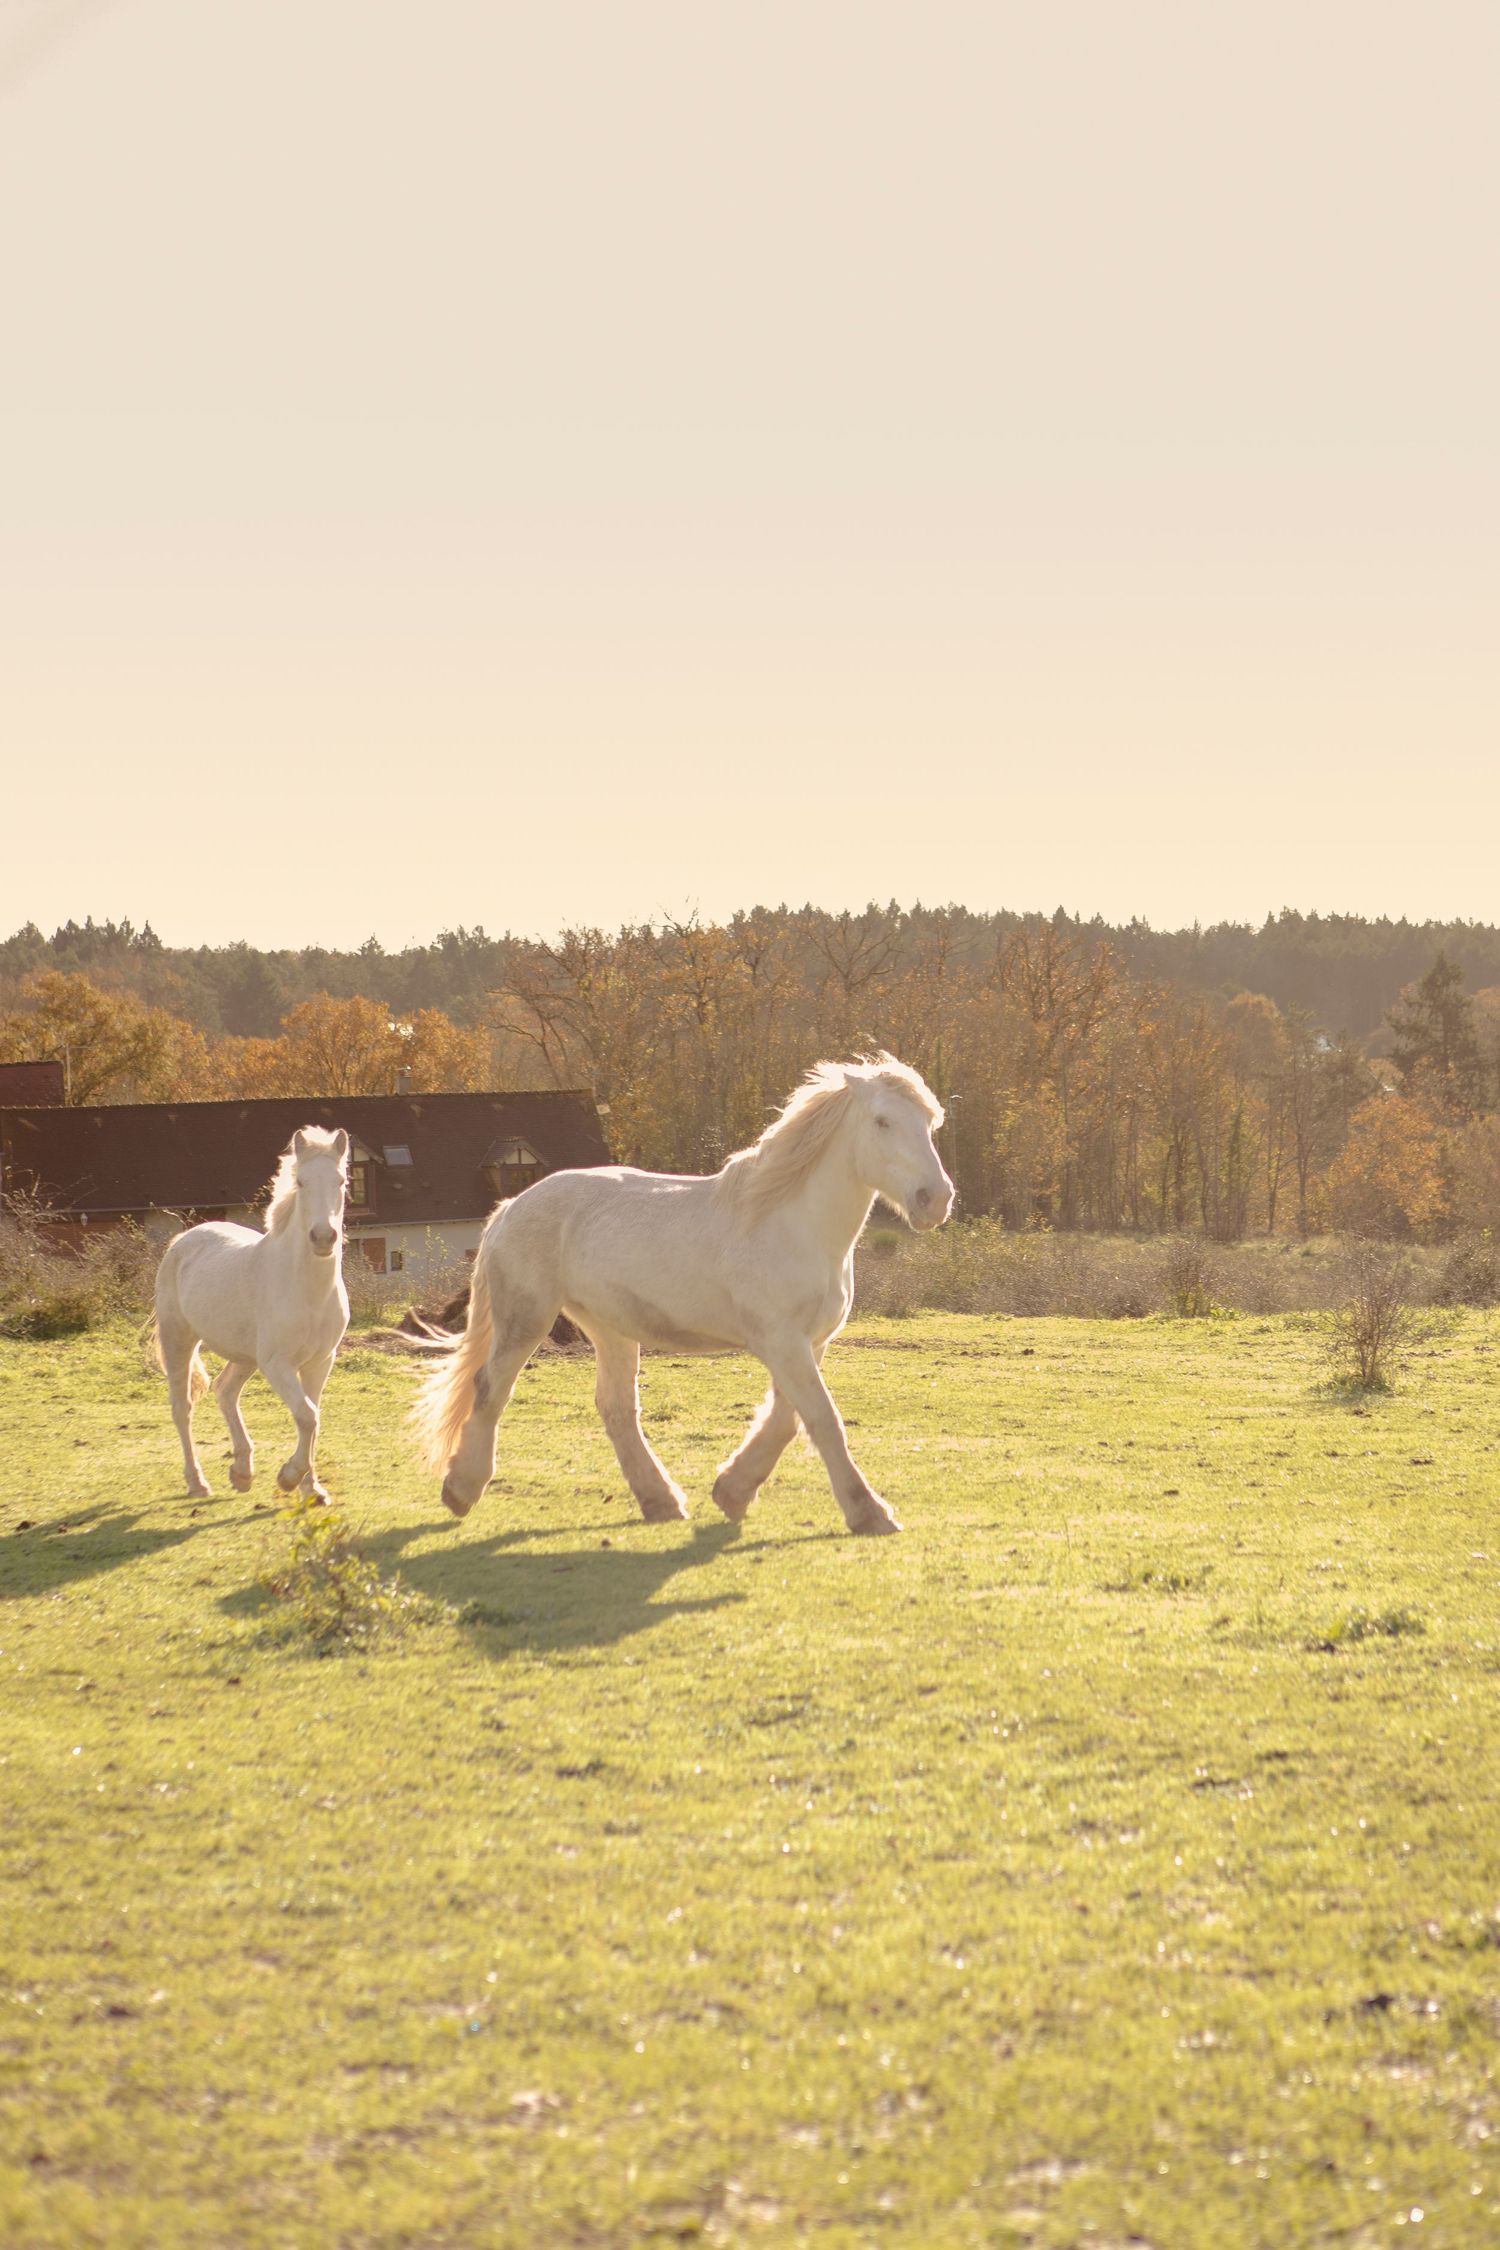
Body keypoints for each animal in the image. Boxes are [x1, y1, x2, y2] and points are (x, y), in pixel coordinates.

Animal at [153, 1127, 350, 1502]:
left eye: (342, 1181)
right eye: (301, 1182)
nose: (323, 1238)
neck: (307, 1291)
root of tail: (182, 1240)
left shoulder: (320, 1361)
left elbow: (313, 1416)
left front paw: (312, 1489)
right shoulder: (278, 1363)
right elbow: (307, 1417)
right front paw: (289, 1477)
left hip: (245, 1356)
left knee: (225, 1391)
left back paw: (242, 1472)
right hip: (179, 1341)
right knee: (182, 1408)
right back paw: (197, 1483)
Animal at [412, 1055, 954, 1536]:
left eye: (931, 1123)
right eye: (883, 1121)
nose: (936, 1200)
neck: (792, 1226)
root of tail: (509, 1206)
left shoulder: (809, 1343)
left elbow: (786, 1419)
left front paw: (732, 1491)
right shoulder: (782, 1342)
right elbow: (821, 1418)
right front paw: (870, 1513)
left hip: (609, 1329)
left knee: (616, 1408)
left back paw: (661, 1502)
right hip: (526, 1318)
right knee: (490, 1388)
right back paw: (461, 1489)